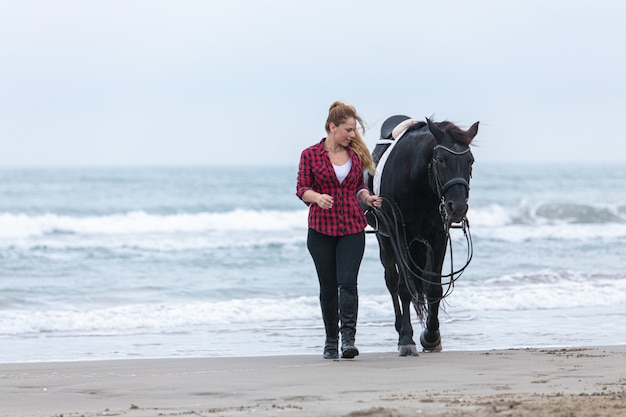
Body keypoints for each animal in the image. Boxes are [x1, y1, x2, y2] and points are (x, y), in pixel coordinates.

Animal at [366, 115, 478, 356]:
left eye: (470, 161)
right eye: (441, 160)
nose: (458, 207)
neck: (416, 181)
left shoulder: (438, 236)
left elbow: (433, 287)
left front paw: (431, 336)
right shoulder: (398, 234)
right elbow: (404, 287)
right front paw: (406, 338)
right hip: (385, 240)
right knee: (392, 280)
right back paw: (399, 327)